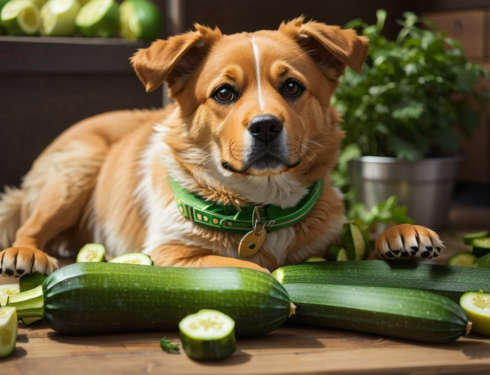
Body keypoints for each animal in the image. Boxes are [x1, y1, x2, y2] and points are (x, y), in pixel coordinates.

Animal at [0, 17, 444, 278]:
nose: (265, 127)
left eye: (292, 86)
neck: (261, 210)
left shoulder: (331, 233)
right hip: (78, 171)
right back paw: (25, 255)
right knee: (28, 226)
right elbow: (244, 267)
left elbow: (363, 237)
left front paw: (401, 235)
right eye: (224, 93)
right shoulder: (170, 253)